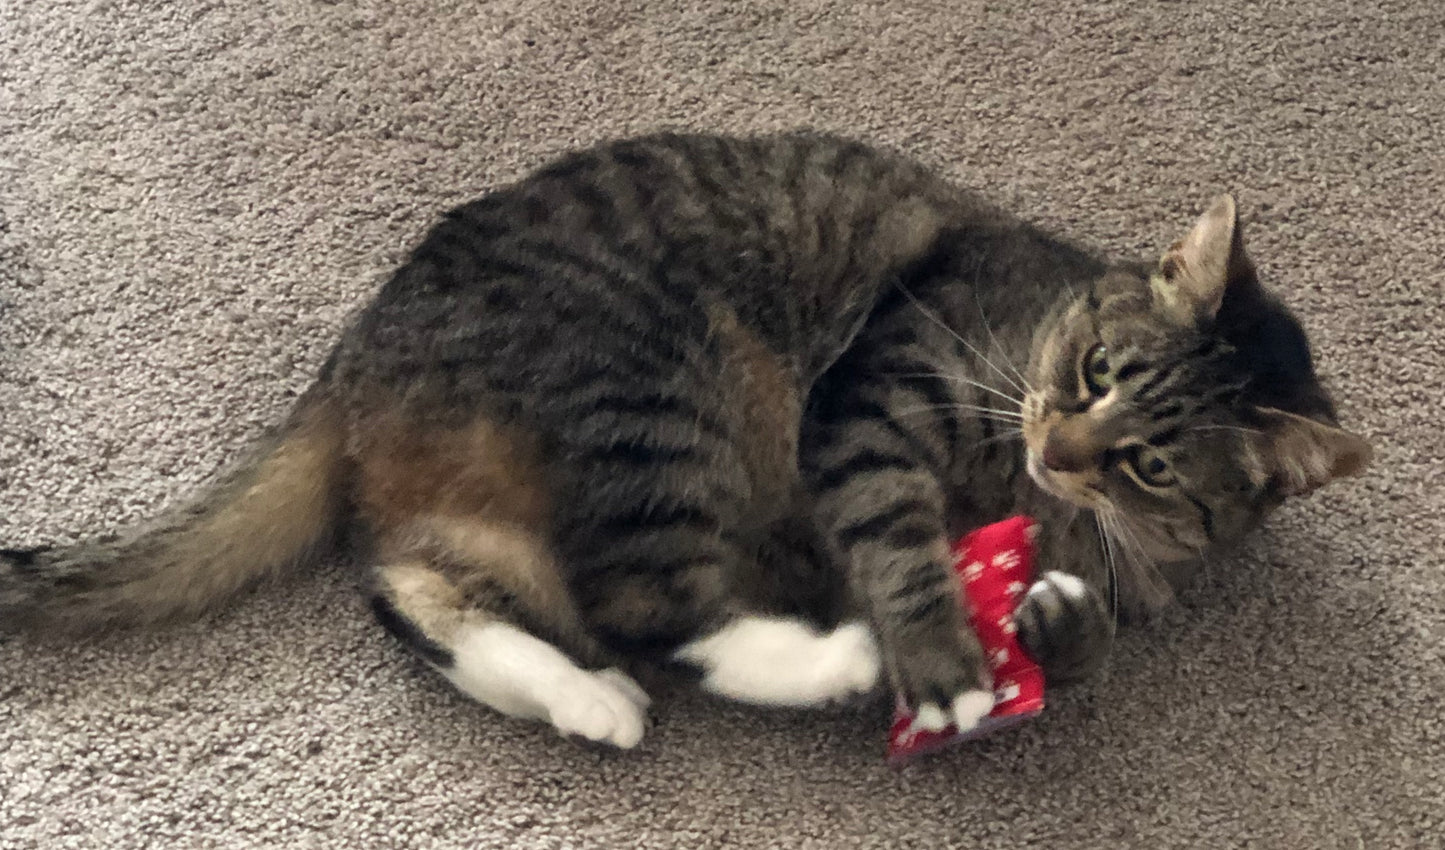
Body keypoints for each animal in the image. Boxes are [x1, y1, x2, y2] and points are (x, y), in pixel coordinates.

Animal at [0, 129, 1364, 745]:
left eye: (1149, 463)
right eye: (1089, 373)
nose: (1058, 450)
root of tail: (356, 348)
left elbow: (1077, 636)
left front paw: (1049, 621)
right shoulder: (871, 398)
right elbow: (898, 544)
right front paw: (943, 661)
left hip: (497, 501)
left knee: (412, 587)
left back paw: (574, 697)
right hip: (664, 399)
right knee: (644, 612)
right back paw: (828, 664)